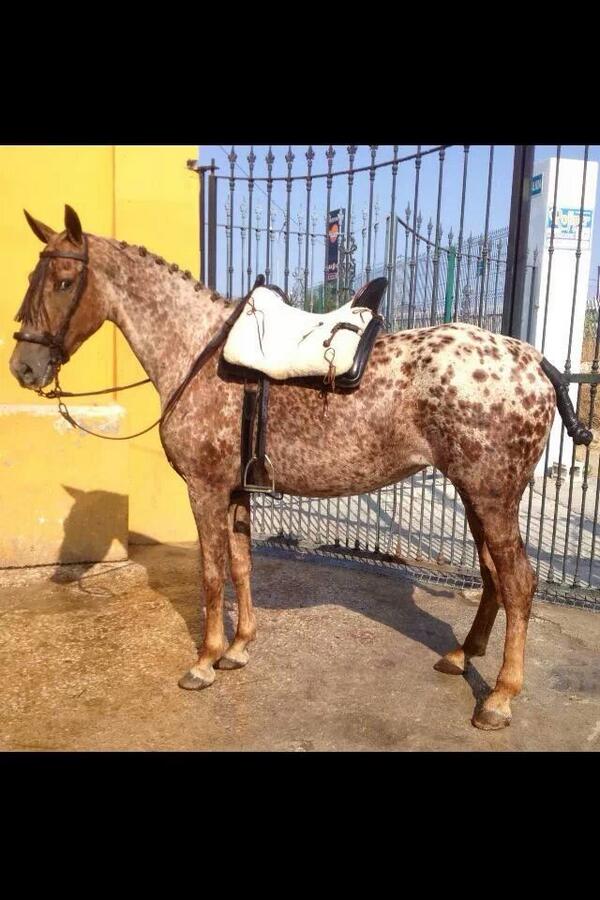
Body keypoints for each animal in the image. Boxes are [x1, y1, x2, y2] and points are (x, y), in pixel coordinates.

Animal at [9, 205, 592, 731]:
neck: (197, 353)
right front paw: (239, 649)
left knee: (518, 582)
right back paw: (462, 656)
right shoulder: (236, 490)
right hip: (478, 496)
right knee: (494, 575)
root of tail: (535, 361)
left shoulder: (204, 489)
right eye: (34, 278)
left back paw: (500, 697)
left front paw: (204, 661)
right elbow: (242, 565)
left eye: (63, 282)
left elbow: (211, 572)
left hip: (491, 497)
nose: (24, 368)